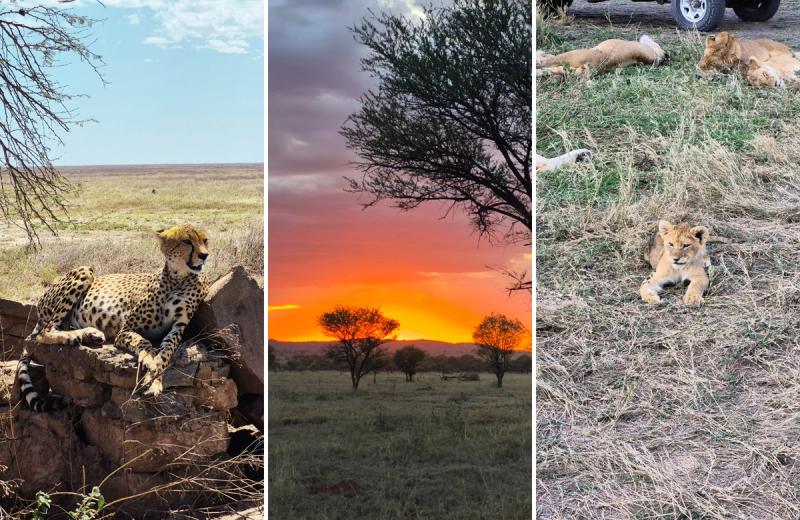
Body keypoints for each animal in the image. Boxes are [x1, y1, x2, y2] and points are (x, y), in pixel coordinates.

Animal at [17, 224, 210, 411]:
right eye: (186, 241)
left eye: (205, 240)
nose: (204, 255)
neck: (178, 278)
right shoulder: (126, 329)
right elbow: (144, 342)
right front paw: (148, 360)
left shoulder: (178, 327)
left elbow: (166, 353)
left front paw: (154, 380)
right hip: (84, 270)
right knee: (44, 332)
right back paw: (73, 337)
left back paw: (89, 334)